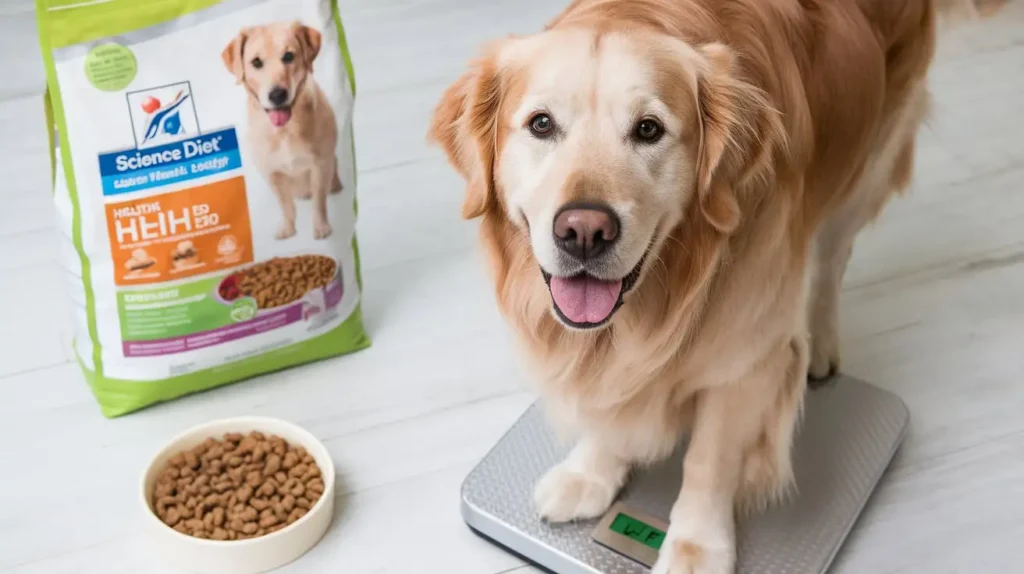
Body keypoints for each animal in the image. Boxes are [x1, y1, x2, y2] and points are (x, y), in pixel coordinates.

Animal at [220, 21, 339, 240]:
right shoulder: (272, 173)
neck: (284, 131)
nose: (277, 95)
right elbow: (285, 205)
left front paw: (321, 227)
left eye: (289, 56)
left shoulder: (320, 166)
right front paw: (287, 228)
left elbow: (319, 201)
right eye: (256, 62)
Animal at [428, 1, 995, 572]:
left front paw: (697, 545)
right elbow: (612, 406)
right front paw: (589, 474)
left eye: (649, 129)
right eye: (541, 124)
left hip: (866, 163)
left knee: (830, 261)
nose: (584, 231)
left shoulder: (743, 362)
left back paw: (820, 346)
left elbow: (709, 461)